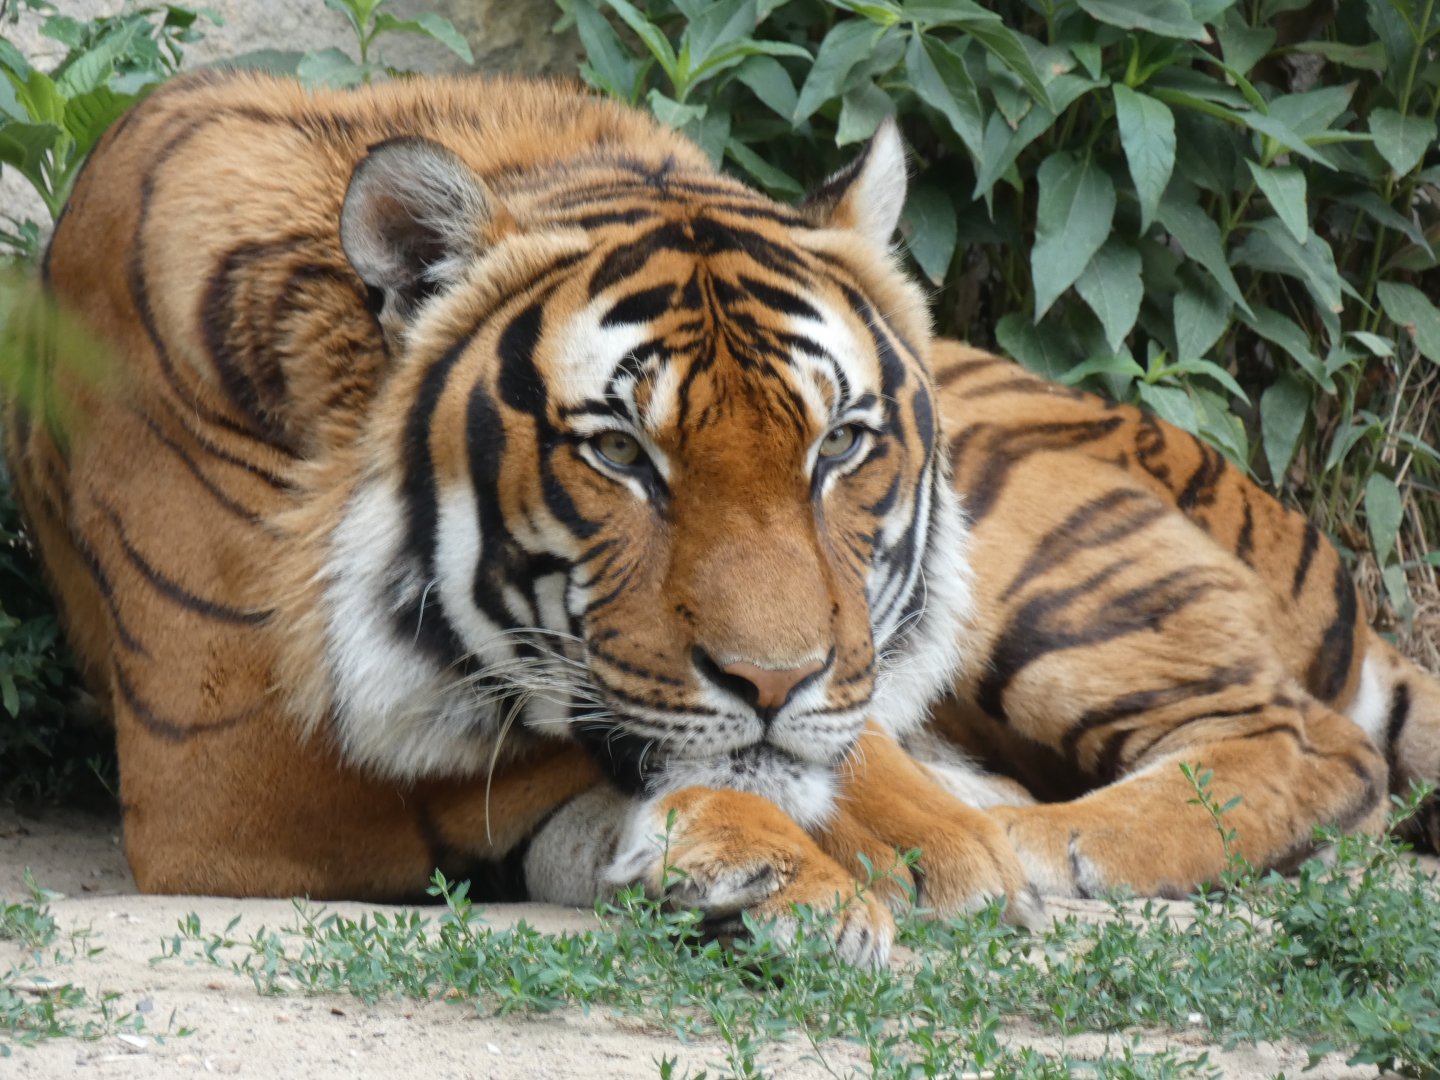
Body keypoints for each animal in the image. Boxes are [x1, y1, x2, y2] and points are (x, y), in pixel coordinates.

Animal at [4, 70, 1436, 968]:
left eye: (839, 444)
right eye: (620, 454)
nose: (772, 683)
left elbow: (829, 747)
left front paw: (920, 844)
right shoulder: (229, 761)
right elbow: (541, 765)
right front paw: (771, 865)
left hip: (1054, 575)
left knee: (1306, 744)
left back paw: (1043, 841)